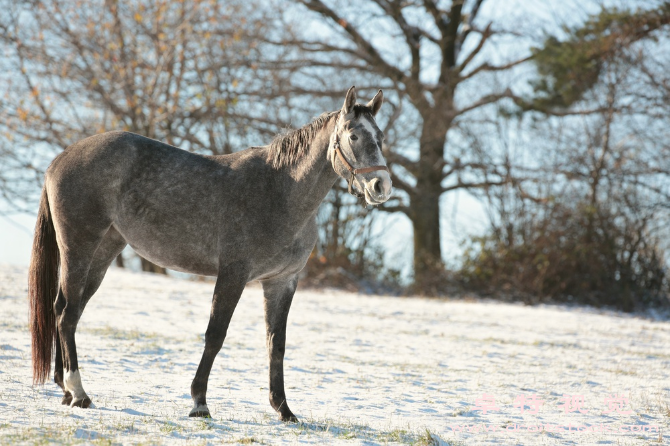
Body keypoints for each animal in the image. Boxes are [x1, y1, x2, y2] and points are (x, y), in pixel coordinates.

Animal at [27, 86, 394, 422]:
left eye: (380, 137)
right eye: (354, 135)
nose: (381, 187)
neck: (280, 190)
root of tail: (61, 158)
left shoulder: (282, 281)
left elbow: (276, 342)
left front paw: (283, 409)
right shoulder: (233, 274)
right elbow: (215, 335)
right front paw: (199, 402)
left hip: (103, 252)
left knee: (66, 309)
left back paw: (64, 388)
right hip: (80, 247)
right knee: (67, 315)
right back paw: (79, 392)